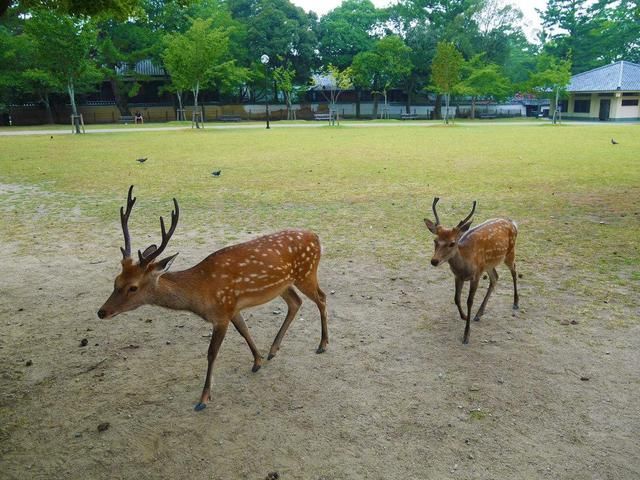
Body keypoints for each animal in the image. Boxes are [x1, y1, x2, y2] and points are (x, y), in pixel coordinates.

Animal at [100, 186, 330, 410]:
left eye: (133, 287)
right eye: (116, 280)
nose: (102, 312)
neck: (200, 293)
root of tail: (316, 237)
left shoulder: (221, 314)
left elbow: (211, 353)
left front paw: (203, 399)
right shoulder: (232, 309)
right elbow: (245, 331)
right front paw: (257, 361)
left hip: (306, 273)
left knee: (322, 297)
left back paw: (322, 344)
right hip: (284, 285)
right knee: (296, 302)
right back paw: (273, 350)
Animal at [424, 197, 520, 344]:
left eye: (452, 243)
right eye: (435, 240)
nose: (434, 261)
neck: (465, 264)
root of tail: (513, 223)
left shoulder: (476, 275)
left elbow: (469, 301)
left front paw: (466, 335)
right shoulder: (458, 276)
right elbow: (456, 298)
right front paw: (464, 316)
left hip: (510, 252)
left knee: (514, 271)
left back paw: (515, 303)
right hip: (488, 265)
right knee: (495, 277)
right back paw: (479, 313)